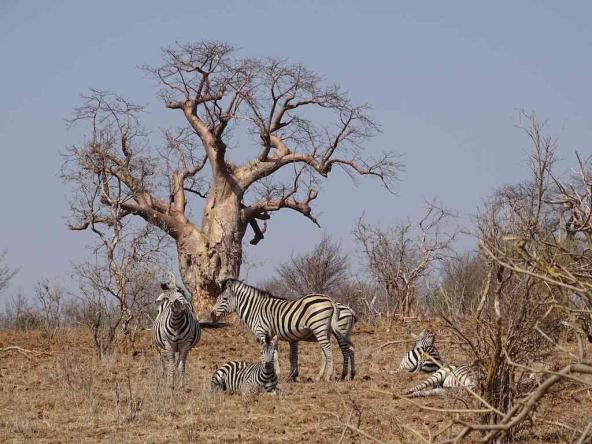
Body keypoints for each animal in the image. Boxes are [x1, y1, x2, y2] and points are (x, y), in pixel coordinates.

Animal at [212, 280, 342, 382]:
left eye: (224, 299)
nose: (212, 315)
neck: (255, 309)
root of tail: (329, 299)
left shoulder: (261, 332)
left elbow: (267, 352)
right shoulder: (272, 334)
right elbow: (275, 353)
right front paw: (277, 373)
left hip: (319, 328)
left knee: (328, 351)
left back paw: (328, 376)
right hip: (325, 331)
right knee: (324, 352)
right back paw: (319, 376)